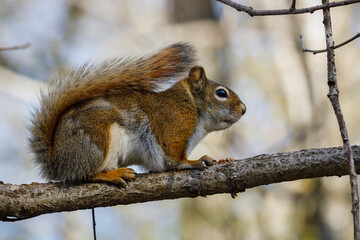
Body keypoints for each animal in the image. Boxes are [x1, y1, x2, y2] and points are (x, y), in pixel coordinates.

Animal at [29, 43, 246, 185]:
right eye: (221, 93)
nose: (244, 109)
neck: (191, 105)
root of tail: (56, 161)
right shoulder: (173, 127)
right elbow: (175, 158)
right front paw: (194, 162)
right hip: (97, 138)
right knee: (85, 174)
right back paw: (112, 175)